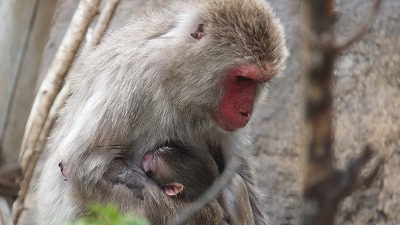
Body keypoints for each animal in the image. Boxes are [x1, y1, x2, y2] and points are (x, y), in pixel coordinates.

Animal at [36, 0, 288, 224]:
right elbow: (83, 166)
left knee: (234, 183)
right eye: (242, 79)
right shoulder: (132, 79)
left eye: (259, 82)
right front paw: (208, 214)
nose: (246, 112)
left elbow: (236, 171)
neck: (178, 81)